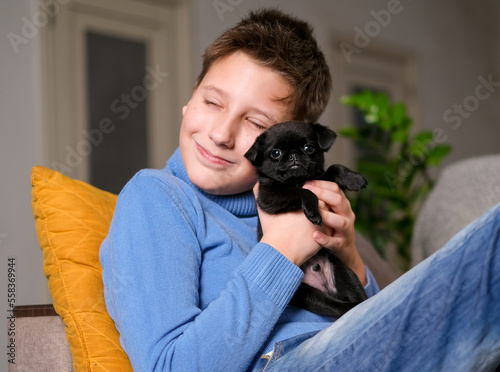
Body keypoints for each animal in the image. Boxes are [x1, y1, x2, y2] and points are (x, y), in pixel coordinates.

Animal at [245, 120, 368, 318]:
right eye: (275, 153)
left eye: (308, 148)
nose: (294, 155)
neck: (297, 180)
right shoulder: (269, 197)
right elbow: (304, 191)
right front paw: (313, 211)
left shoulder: (323, 180)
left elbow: (335, 167)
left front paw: (353, 178)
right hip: (305, 293)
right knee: (336, 307)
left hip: (343, 271)